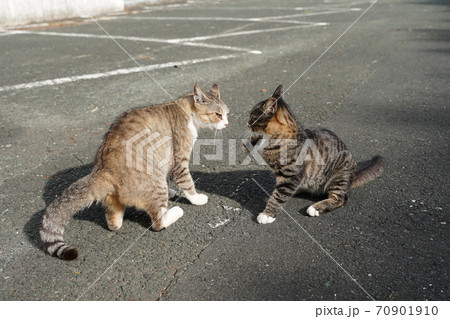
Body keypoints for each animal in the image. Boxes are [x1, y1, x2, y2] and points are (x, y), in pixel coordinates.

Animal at [39, 84, 229, 260]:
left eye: (227, 113)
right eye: (217, 114)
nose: (227, 123)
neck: (185, 109)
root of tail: (103, 168)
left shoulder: (165, 162)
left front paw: (173, 191)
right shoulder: (178, 162)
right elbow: (187, 183)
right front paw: (196, 198)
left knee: (113, 222)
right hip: (155, 182)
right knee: (158, 223)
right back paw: (175, 211)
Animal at [244, 85, 384, 225]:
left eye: (252, 117)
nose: (247, 123)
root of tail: (352, 177)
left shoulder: (290, 177)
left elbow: (278, 197)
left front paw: (267, 214)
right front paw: (251, 141)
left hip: (338, 175)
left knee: (341, 198)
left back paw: (315, 207)